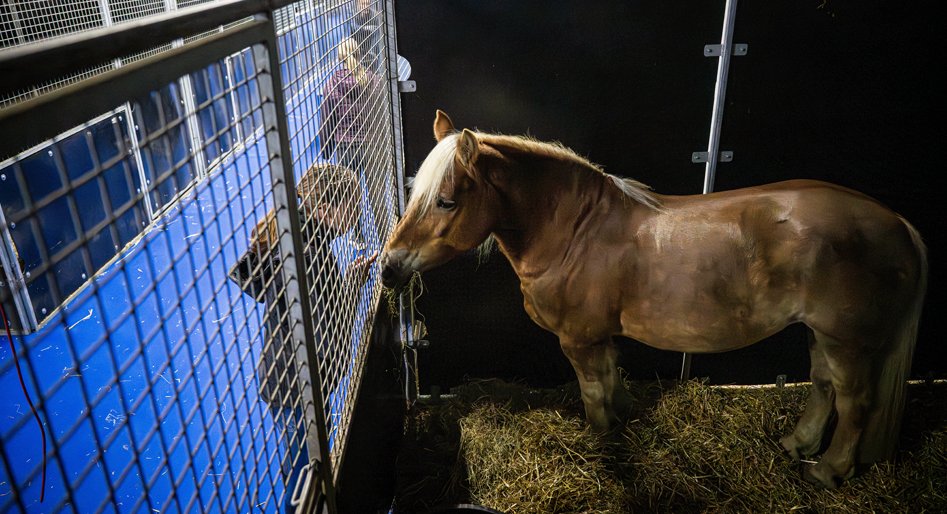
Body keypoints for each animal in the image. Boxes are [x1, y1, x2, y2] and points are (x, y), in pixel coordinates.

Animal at [382, 110, 928, 486]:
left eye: (445, 201)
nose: (388, 268)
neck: (576, 234)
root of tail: (897, 222)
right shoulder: (601, 338)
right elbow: (613, 379)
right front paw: (624, 417)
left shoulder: (579, 340)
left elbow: (593, 394)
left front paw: (604, 447)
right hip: (820, 333)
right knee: (823, 386)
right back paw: (798, 442)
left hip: (846, 341)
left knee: (856, 402)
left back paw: (829, 470)